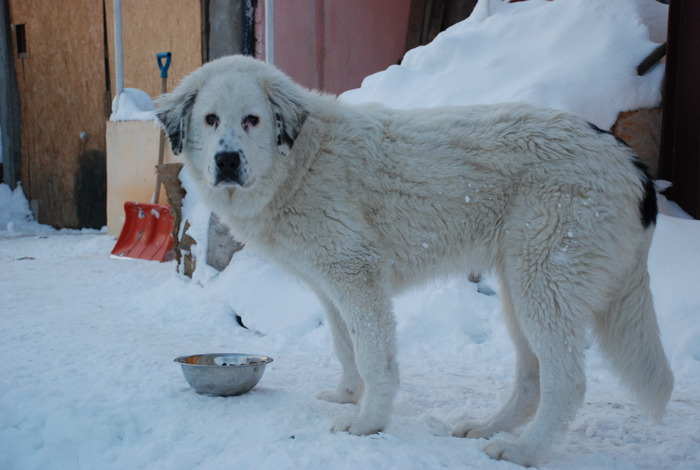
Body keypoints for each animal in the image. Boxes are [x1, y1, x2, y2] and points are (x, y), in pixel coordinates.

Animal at [159, 56, 672, 466]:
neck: (299, 160)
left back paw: (524, 451)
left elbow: (373, 357)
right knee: (532, 380)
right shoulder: (329, 286)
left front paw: (367, 423)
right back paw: (488, 427)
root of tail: (630, 160)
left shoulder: (357, 274)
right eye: (210, 119)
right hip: (520, 289)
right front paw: (346, 397)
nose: (227, 161)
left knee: (567, 383)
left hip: (544, 286)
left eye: (252, 119)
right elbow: (346, 348)